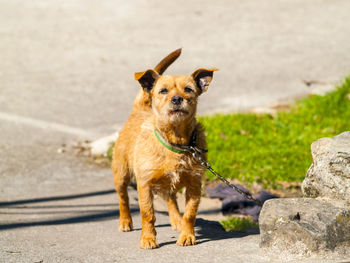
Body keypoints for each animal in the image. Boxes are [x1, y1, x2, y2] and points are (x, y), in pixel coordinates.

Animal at [112, 49, 217, 250]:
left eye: (188, 89)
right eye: (163, 91)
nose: (176, 99)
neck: (176, 142)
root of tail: (138, 110)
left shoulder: (194, 185)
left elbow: (190, 213)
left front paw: (187, 235)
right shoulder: (144, 184)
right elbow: (147, 213)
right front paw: (148, 238)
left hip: (168, 183)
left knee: (171, 198)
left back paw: (176, 220)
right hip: (121, 174)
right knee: (123, 198)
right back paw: (125, 221)